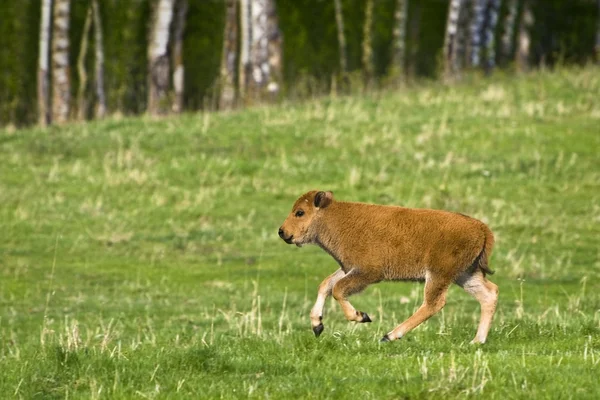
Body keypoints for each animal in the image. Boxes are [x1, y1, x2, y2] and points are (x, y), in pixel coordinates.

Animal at [278, 191, 500, 344]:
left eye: (300, 212)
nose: (282, 232)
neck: (335, 217)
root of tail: (481, 228)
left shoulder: (368, 272)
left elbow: (338, 289)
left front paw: (361, 317)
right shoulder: (349, 268)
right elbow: (326, 285)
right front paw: (317, 325)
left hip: (439, 274)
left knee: (433, 304)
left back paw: (390, 336)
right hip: (464, 274)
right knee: (489, 294)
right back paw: (476, 341)